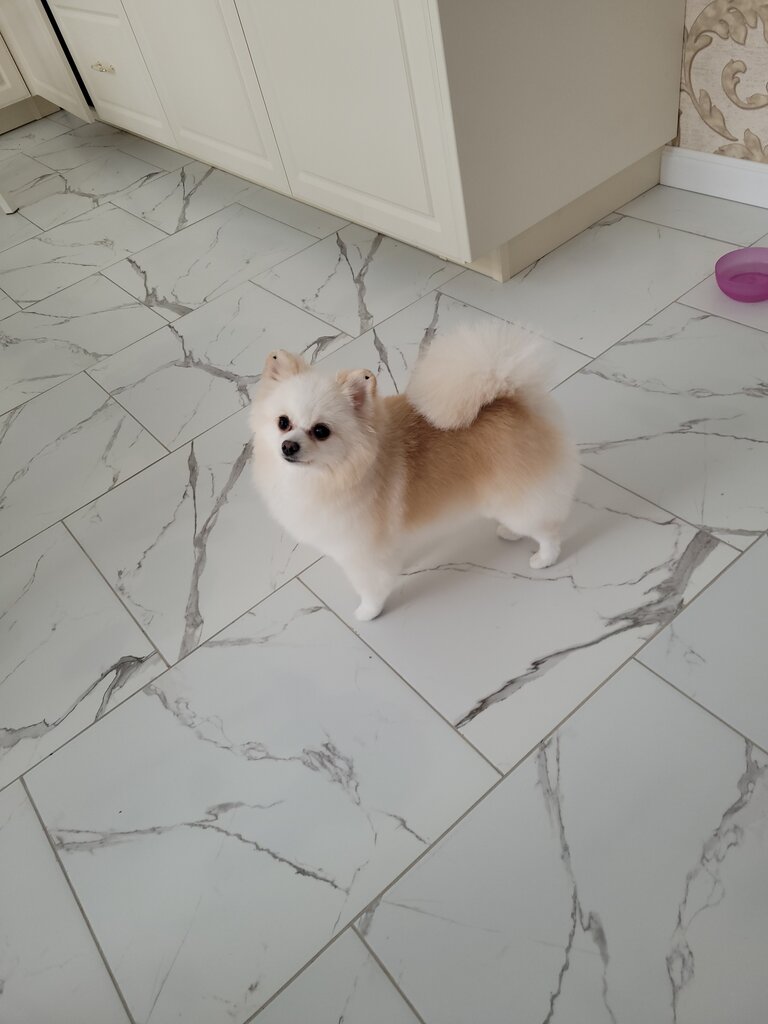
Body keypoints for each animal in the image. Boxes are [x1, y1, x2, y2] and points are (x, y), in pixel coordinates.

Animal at [249, 320, 580, 621]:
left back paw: (544, 558)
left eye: (321, 431)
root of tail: (511, 398)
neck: (332, 473)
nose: (288, 446)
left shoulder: (361, 554)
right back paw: (510, 532)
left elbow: (370, 587)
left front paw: (367, 612)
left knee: (547, 529)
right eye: (283, 422)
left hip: (519, 496)